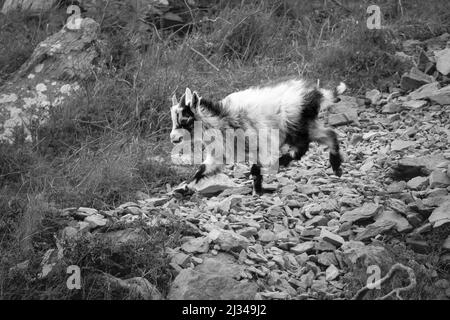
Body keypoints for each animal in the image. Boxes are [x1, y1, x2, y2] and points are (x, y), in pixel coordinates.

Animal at [171, 79, 346, 194]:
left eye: (185, 120)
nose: (173, 139)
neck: (223, 120)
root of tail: (315, 94)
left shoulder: (263, 142)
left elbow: (257, 167)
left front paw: (258, 189)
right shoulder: (221, 152)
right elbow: (203, 168)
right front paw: (184, 187)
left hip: (295, 124)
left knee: (302, 146)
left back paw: (284, 160)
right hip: (307, 124)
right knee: (329, 134)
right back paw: (336, 167)